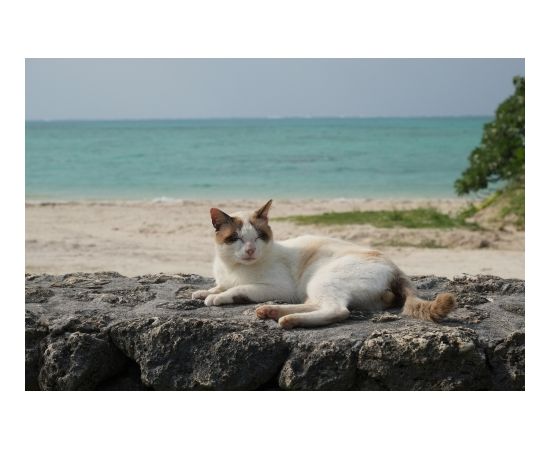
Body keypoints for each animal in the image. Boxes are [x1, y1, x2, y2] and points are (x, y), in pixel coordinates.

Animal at [192, 200, 456, 329]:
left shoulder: (278, 287)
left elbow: (237, 289)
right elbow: (219, 286)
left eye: (258, 237)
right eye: (236, 238)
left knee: (336, 310)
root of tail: (396, 268)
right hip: (313, 287)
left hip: (321, 279)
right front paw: (204, 291)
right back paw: (271, 311)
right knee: (315, 304)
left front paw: (216, 297)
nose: (250, 250)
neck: (233, 267)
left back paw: (288, 320)